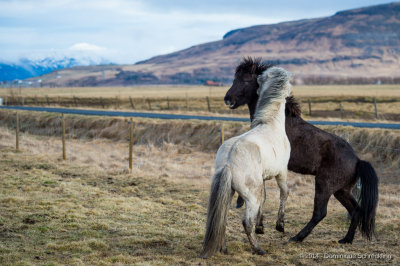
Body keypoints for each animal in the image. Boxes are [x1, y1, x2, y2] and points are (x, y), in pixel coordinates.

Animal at [200, 66, 290, 258]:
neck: (271, 123)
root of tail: (228, 162)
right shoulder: (282, 172)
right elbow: (284, 193)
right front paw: (280, 225)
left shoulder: (263, 178)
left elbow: (265, 198)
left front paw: (261, 226)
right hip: (251, 197)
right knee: (246, 221)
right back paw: (258, 249)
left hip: (229, 193)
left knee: (223, 217)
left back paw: (223, 248)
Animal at [225, 57, 378, 244]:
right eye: (235, 78)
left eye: (246, 80)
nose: (228, 99)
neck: (272, 120)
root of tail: (357, 161)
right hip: (341, 190)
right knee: (355, 210)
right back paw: (346, 239)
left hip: (324, 185)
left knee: (320, 213)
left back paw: (296, 237)